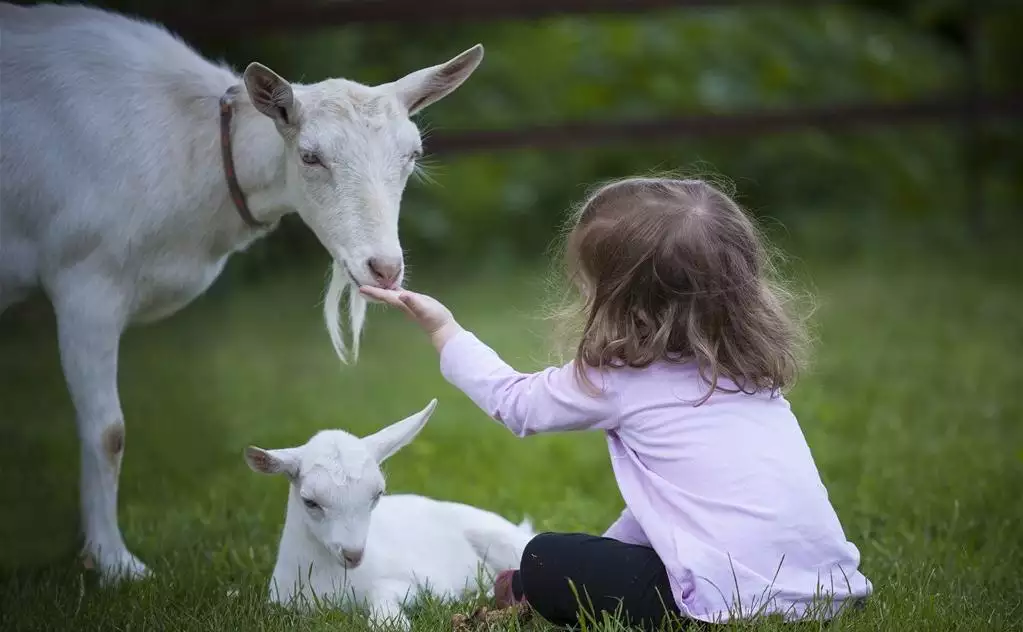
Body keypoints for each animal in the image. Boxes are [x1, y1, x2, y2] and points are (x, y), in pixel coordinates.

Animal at [0, 1, 482, 580]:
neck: (193, 151)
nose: (385, 268)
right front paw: (115, 563)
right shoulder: (85, 279)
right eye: (311, 157)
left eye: (412, 155)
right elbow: (108, 431)